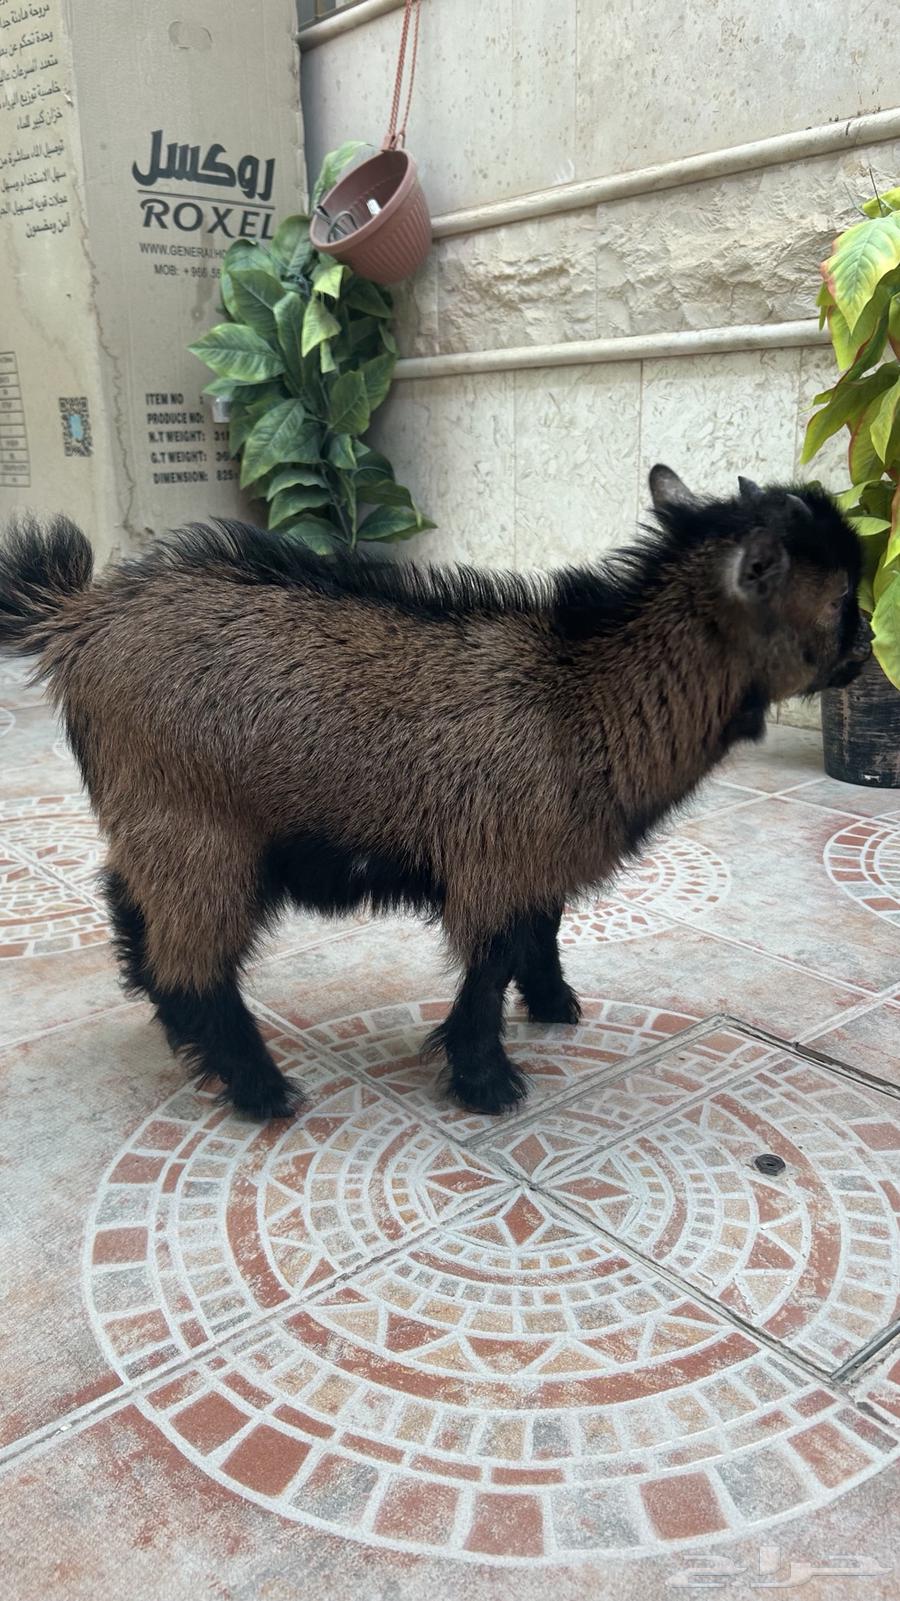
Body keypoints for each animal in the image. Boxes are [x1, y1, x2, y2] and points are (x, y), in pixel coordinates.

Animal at [0, 466, 867, 1118]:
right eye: (841, 598)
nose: (866, 649)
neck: (581, 699)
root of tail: (77, 619)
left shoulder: (536, 858)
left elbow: (540, 932)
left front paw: (554, 1005)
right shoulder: (495, 859)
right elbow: (490, 964)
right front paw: (487, 1081)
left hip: (150, 823)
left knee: (129, 905)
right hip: (197, 827)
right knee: (195, 959)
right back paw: (260, 1087)